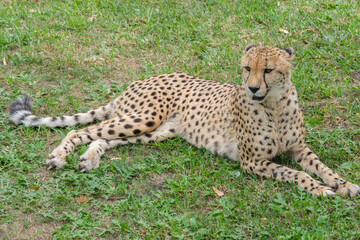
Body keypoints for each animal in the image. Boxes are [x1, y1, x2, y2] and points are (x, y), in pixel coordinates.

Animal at [8, 44, 360, 197]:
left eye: (269, 69)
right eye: (247, 68)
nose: (251, 87)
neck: (273, 105)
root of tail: (137, 81)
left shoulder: (299, 148)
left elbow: (323, 167)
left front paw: (346, 185)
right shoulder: (252, 161)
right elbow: (293, 173)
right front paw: (320, 189)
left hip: (155, 131)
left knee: (102, 138)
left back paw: (88, 159)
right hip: (145, 117)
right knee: (84, 130)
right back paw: (58, 156)